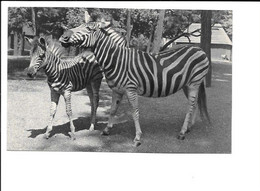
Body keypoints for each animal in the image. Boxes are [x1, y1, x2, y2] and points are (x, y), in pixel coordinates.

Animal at [59, 21, 211, 146]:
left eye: (89, 28)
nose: (63, 37)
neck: (117, 60)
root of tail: (199, 49)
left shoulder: (130, 89)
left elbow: (135, 112)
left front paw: (137, 137)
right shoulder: (117, 89)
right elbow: (113, 110)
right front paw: (107, 129)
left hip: (194, 82)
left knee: (191, 105)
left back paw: (182, 132)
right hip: (186, 84)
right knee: (194, 103)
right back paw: (189, 127)